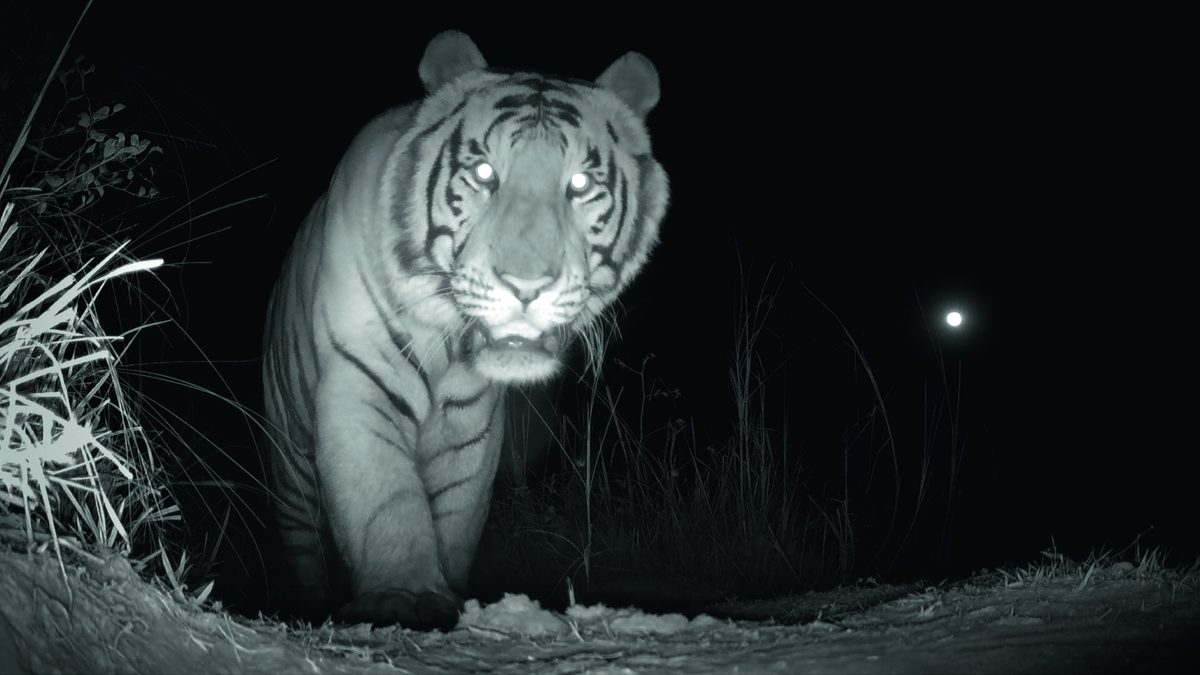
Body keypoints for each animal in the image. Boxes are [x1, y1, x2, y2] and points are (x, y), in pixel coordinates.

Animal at [261, 30, 669, 630]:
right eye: (483, 175)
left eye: (580, 183)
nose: (526, 285)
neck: (449, 342)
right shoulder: (360, 378)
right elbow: (384, 498)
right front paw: (403, 597)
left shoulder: (472, 419)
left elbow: (456, 510)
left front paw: (445, 593)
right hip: (288, 457)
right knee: (302, 541)